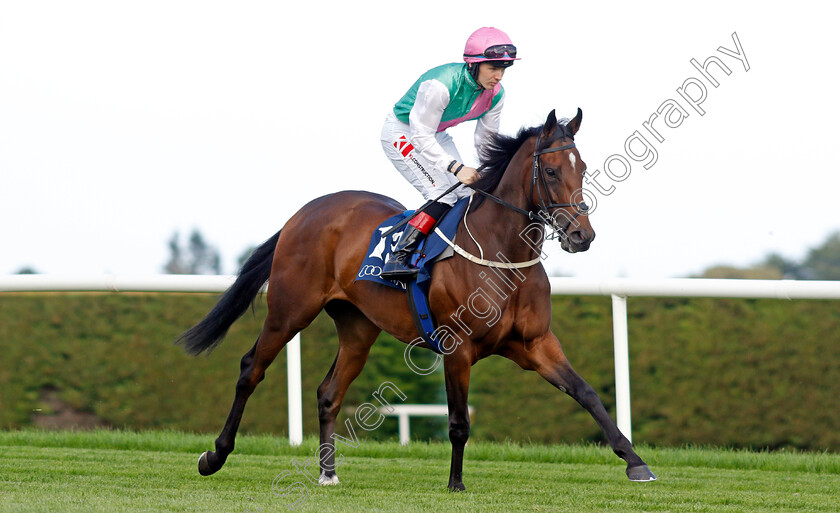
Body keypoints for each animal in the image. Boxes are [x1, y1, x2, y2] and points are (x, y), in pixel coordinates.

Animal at [180, 107, 660, 488]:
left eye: (583, 167)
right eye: (553, 171)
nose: (582, 236)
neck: (502, 253)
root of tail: (305, 212)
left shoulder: (536, 343)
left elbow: (587, 393)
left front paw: (636, 462)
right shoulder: (457, 347)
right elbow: (459, 422)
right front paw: (456, 483)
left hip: (358, 326)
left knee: (329, 391)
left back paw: (328, 472)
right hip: (289, 309)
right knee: (251, 369)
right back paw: (214, 455)